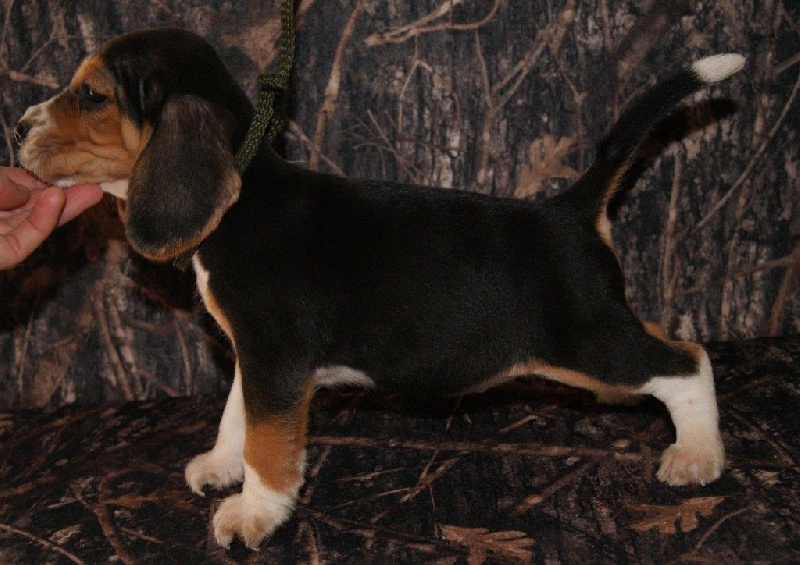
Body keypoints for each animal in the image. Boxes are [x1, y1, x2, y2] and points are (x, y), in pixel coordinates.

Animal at [15, 28, 743, 549]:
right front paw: (223, 466)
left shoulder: (276, 361)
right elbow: (236, 417)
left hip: (589, 340)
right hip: (599, 344)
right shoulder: (256, 361)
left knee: (689, 360)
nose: (17, 126)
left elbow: (269, 444)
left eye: (92, 96)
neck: (244, 197)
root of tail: (569, 211)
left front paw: (254, 512)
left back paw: (697, 454)